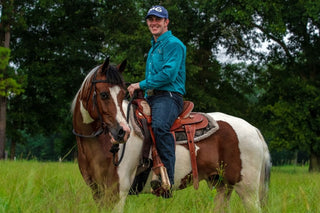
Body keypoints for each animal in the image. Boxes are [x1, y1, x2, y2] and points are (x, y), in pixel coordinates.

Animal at [71, 57, 272, 212]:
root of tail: (253, 129)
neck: (100, 144)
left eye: (122, 96)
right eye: (104, 94)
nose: (123, 132)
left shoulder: (117, 192)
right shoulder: (97, 192)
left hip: (247, 190)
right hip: (222, 186)